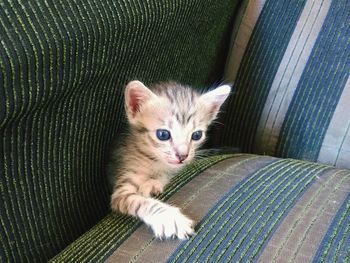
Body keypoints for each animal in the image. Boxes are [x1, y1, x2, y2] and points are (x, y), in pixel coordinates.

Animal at [108, 81, 231, 241]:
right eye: (163, 134)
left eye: (197, 135)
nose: (182, 156)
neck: (154, 161)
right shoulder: (122, 191)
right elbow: (140, 202)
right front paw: (170, 219)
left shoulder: (178, 167)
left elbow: (166, 174)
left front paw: (152, 183)